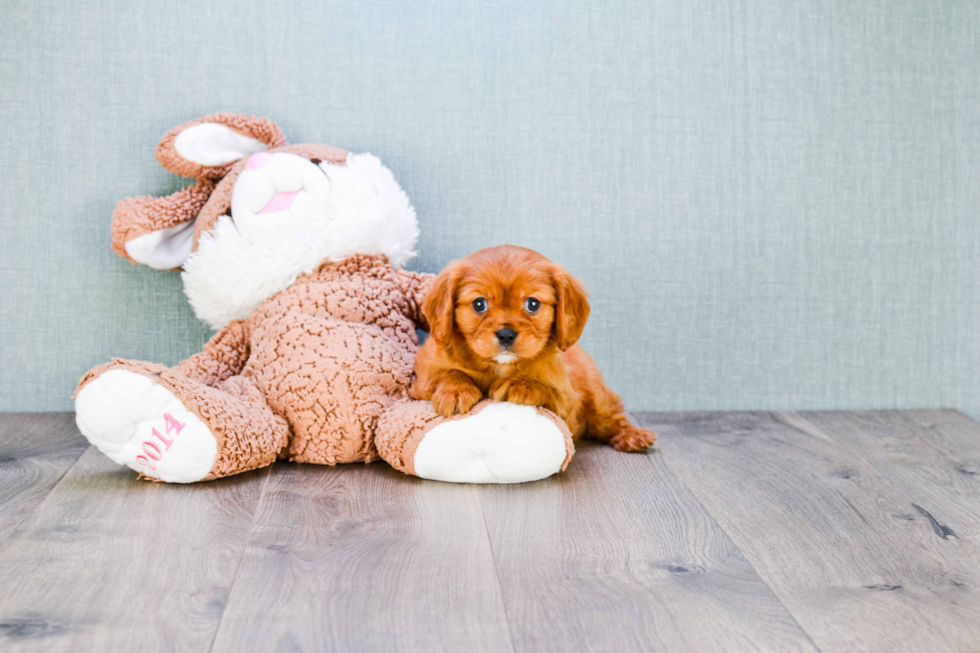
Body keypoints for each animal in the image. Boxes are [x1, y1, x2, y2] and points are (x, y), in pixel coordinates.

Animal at [410, 242, 656, 450]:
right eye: (479, 304)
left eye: (533, 304)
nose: (506, 334)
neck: (498, 367)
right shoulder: (424, 373)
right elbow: (446, 373)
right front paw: (455, 390)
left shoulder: (566, 406)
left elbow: (546, 389)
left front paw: (520, 385)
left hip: (596, 393)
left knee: (611, 416)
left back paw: (633, 435)